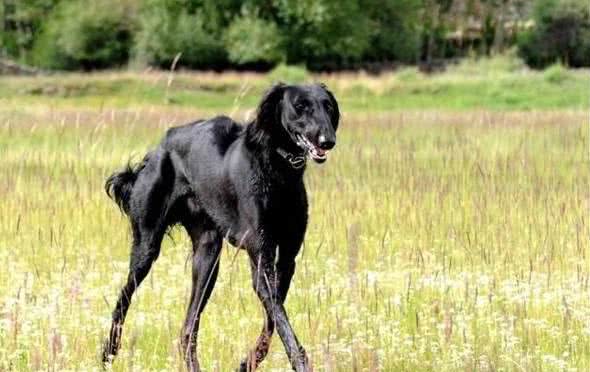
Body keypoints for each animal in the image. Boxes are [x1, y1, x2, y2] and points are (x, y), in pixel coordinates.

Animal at [103, 83, 342, 370]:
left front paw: (248, 361)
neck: (277, 167)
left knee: (187, 330)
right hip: (146, 247)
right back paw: (109, 351)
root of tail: (159, 147)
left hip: (207, 256)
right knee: (124, 298)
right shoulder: (261, 259)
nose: (327, 141)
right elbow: (280, 320)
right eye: (300, 106)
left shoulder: (286, 259)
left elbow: (273, 320)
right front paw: (298, 362)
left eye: (328, 106)